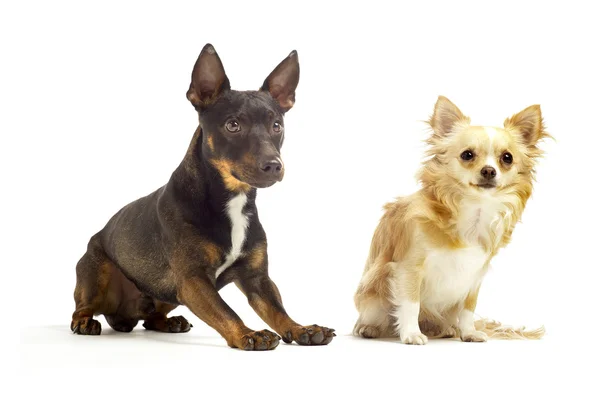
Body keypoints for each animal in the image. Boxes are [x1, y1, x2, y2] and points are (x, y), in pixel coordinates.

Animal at [71, 42, 336, 348]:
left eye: (277, 126)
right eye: (233, 125)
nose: (273, 165)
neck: (232, 201)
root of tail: (123, 317)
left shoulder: (258, 279)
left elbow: (276, 309)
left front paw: (301, 328)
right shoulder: (193, 280)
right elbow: (226, 311)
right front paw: (248, 333)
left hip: (167, 295)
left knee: (151, 317)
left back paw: (170, 322)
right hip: (97, 272)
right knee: (82, 307)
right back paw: (85, 322)